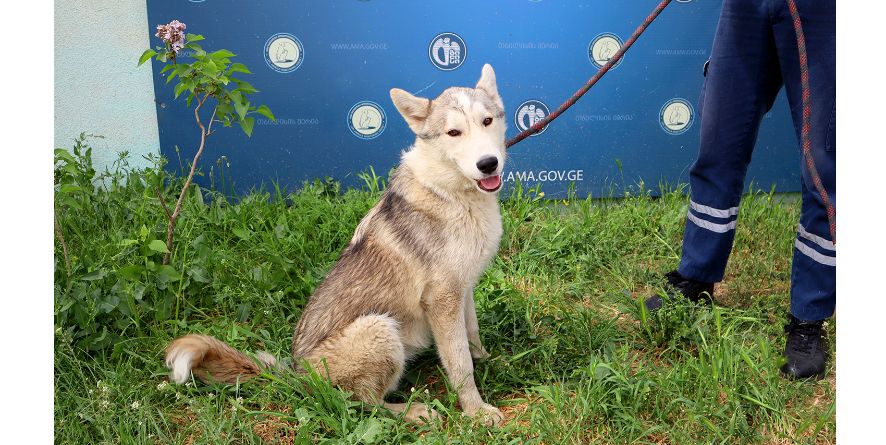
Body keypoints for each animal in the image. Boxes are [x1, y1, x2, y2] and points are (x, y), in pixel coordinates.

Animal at [166, 63, 510, 424]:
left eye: (487, 121)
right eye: (453, 133)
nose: (488, 163)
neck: (453, 192)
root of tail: (297, 374)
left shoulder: (462, 288)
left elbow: (471, 337)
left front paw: (490, 362)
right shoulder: (442, 300)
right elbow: (459, 364)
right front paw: (477, 412)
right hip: (379, 329)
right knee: (362, 403)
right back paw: (413, 412)